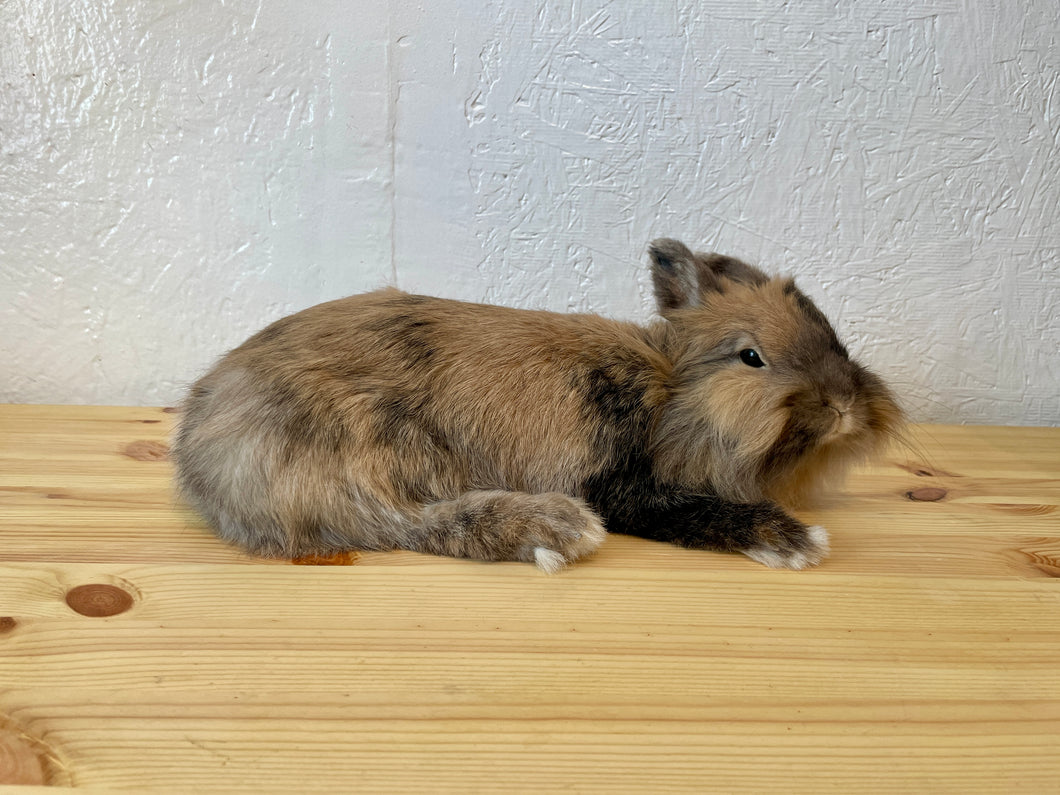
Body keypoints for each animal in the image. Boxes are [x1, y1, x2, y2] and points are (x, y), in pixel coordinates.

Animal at [172, 238, 902, 572]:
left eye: (827, 330)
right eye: (752, 357)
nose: (844, 406)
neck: (667, 390)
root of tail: (199, 457)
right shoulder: (621, 485)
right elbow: (692, 511)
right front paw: (794, 541)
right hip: (369, 440)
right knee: (404, 523)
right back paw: (554, 530)